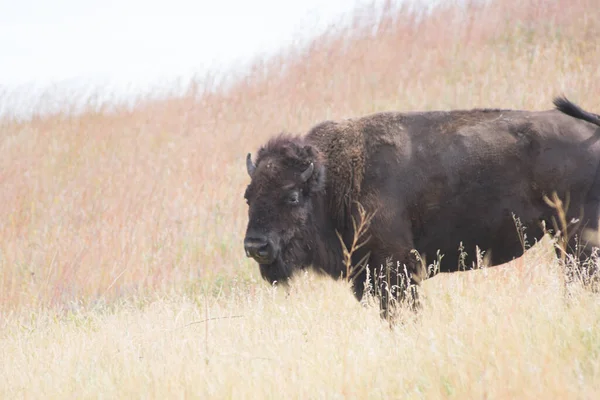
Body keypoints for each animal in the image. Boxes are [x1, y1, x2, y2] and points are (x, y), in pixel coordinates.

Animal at [243, 96, 600, 316]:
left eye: (292, 196)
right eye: (248, 196)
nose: (255, 246)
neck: (333, 180)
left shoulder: (396, 272)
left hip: (576, 239)